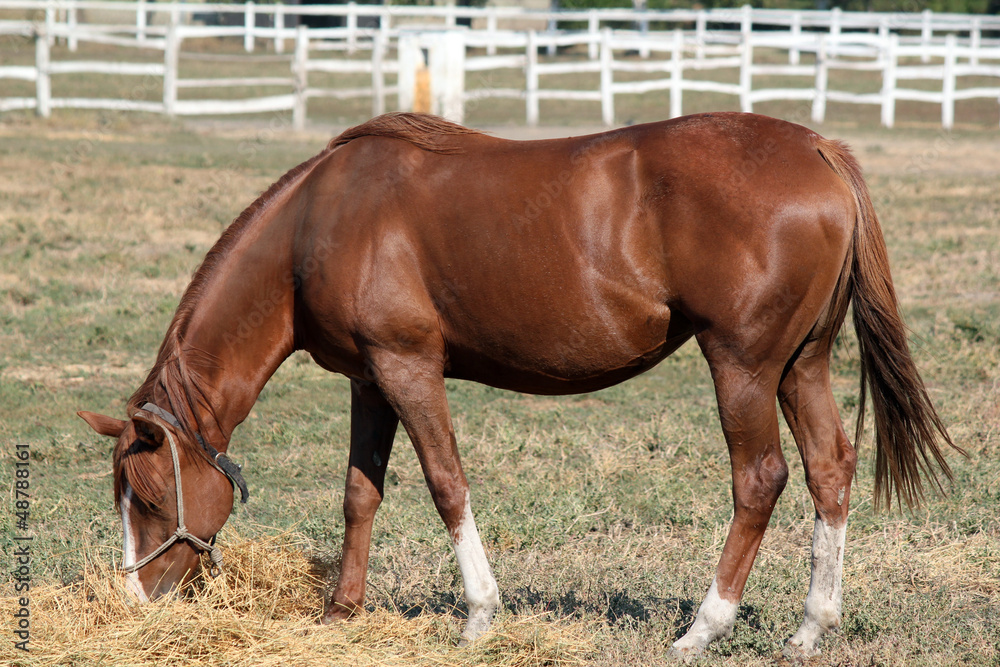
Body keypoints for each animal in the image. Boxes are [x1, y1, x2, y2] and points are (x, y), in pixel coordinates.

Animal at [78, 111, 958, 660]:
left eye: (150, 495)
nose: (134, 603)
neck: (317, 223)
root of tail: (817, 148)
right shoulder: (370, 380)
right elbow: (361, 492)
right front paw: (341, 612)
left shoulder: (408, 366)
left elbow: (446, 482)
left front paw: (478, 613)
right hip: (800, 363)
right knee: (828, 468)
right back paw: (811, 627)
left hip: (741, 364)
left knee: (760, 478)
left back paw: (703, 628)